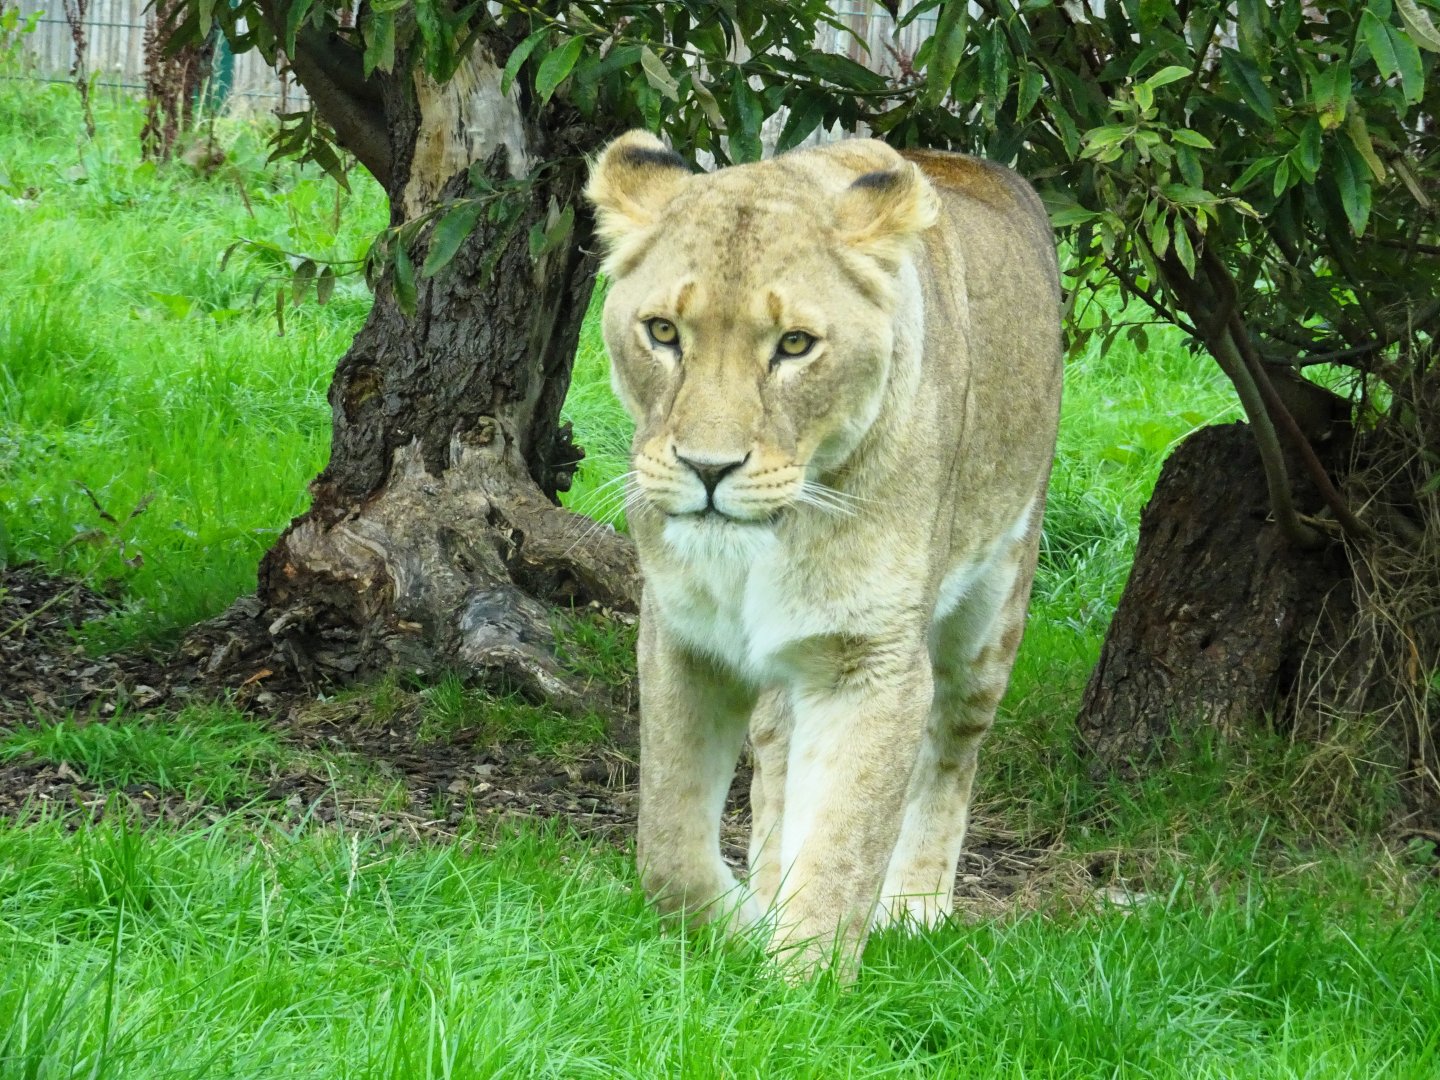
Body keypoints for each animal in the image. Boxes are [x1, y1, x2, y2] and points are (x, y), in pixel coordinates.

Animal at [584, 130, 1062, 975]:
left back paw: (915, 907)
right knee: (777, 759)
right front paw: (743, 925)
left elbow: (842, 846)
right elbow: (666, 846)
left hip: (994, 609)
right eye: (664, 332)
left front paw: (797, 987)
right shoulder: (682, 635)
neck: (765, 546)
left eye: (796, 345)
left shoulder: (871, 658)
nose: (708, 469)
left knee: (953, 752)